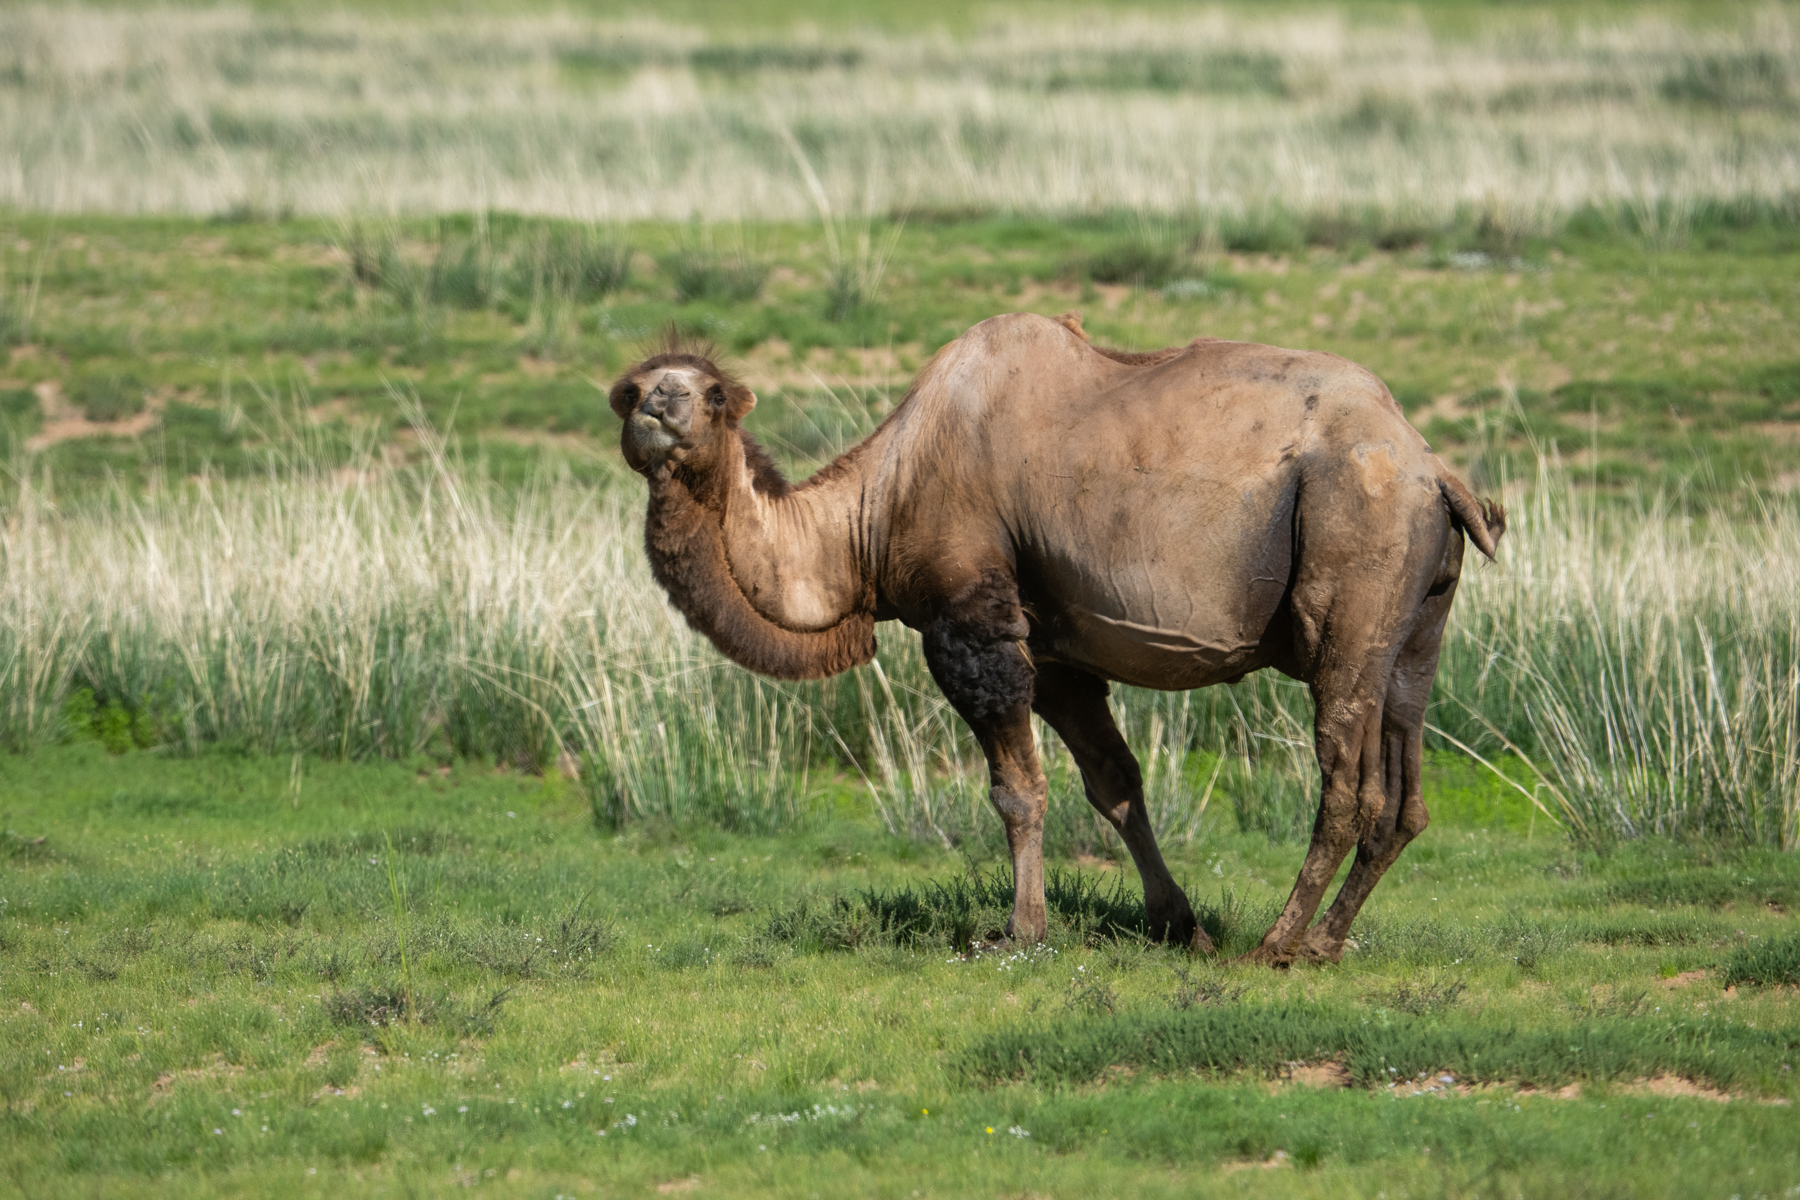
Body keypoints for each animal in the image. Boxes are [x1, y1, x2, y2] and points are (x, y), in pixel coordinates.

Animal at [608, 312, 1503, 965]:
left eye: (712, 394)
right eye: (631, 389)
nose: (659, 406)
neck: (876, 508)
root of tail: (1432, 469)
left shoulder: (971, 627)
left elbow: (1018, 791)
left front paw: (1020, 931)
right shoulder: (1057, 654)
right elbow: (1114, 783)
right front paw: (1177, 922)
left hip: (1352, 568)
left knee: (1347, 780)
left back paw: (1277, 944)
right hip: (1418, 621)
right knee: (1406, 785)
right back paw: (1324, 941)